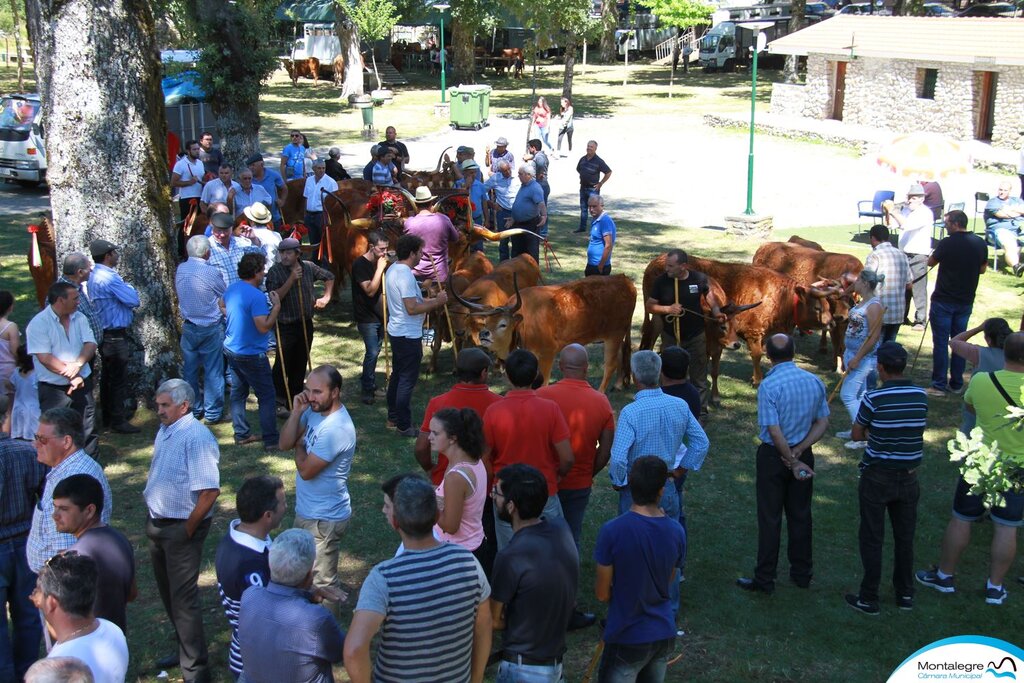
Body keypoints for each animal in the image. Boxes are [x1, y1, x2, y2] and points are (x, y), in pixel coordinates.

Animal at [454, 270, 630, 389]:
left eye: (503, 324)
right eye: (486, 322)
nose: (484, 334)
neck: (524, 323)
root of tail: (623, 279)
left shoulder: (547, 354)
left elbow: (543, 384)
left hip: (614, 334)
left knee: (610, 365)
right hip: (617, 335)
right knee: (621, 354)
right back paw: (619, 384)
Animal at [749, 240, 860, 368]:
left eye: (850, 296)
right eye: (832, 298)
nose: (839, 316)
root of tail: (764, 246)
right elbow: (836, 340)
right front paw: (836, 364)